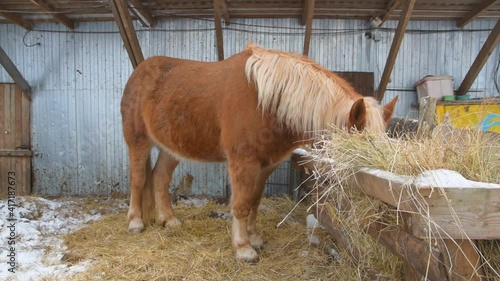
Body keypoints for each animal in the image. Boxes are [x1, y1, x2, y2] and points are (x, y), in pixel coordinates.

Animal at [121, 43, 398, 260]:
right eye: (358, 149)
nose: (380, 203)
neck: (266, 102)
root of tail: (139, 72)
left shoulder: (265, 165)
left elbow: (254, 201)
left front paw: (254, 239)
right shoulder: (243, 162)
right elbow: (241, 204)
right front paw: (243, 249)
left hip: (171, 149)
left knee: (159, 178)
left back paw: (169, 220)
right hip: (138, 142)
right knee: (138, 179)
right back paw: (135, 222)